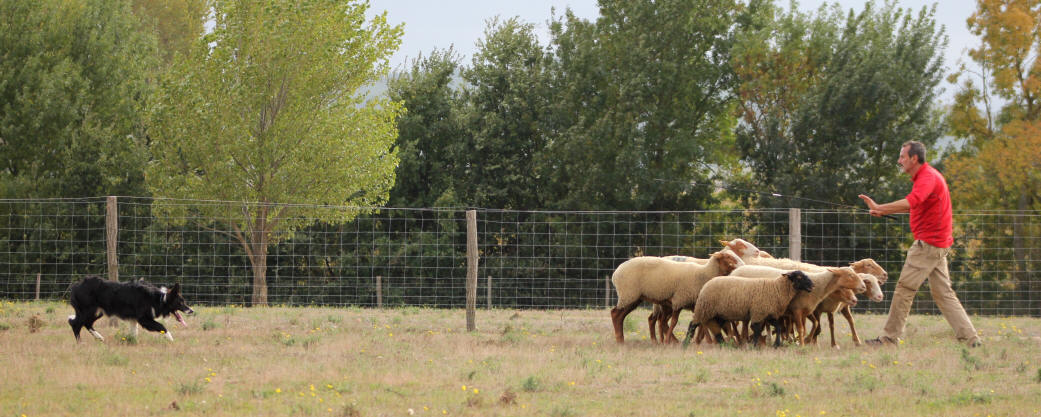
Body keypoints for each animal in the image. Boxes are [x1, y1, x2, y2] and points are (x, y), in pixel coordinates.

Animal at [607, 250, 749, 341]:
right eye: (729, 257)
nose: (744, 266)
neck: (704, 274)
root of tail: (616, 273)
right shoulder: (679, 299)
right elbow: (674, 322)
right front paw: (668, 341)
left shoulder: (697, 304)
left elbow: (702, 324)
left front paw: (704, 342)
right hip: (628, 294)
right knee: (615, 314)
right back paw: (620, 340)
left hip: (634, 298)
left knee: (621, 316)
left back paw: (623, 339)